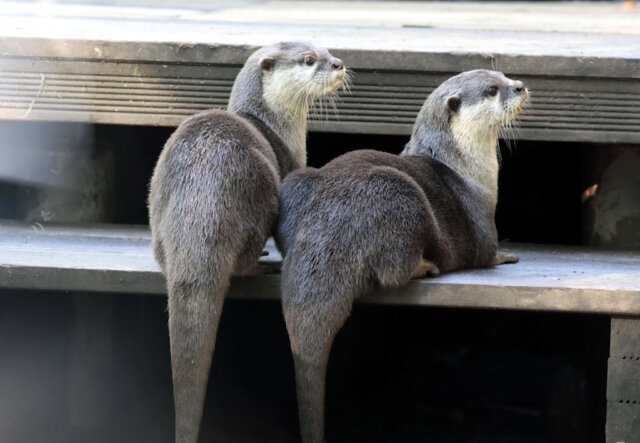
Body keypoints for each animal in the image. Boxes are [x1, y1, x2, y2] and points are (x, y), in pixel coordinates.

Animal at [148, 41, 348, 443]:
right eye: (309, 60)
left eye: (326, 49)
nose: (338, 63)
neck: (276, 130)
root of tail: (203, 192)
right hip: (259, 195)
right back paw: (262, 263)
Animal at [276, 69, 528, 443]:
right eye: (492, 90)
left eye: (503, 75)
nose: (521, 86)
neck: (466, 170)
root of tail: (331, 219)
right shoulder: (482, 222)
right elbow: (487, 254)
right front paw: (508, 255)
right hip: (400, 196)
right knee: (393, 270)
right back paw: (426, 266)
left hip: (295, 184)